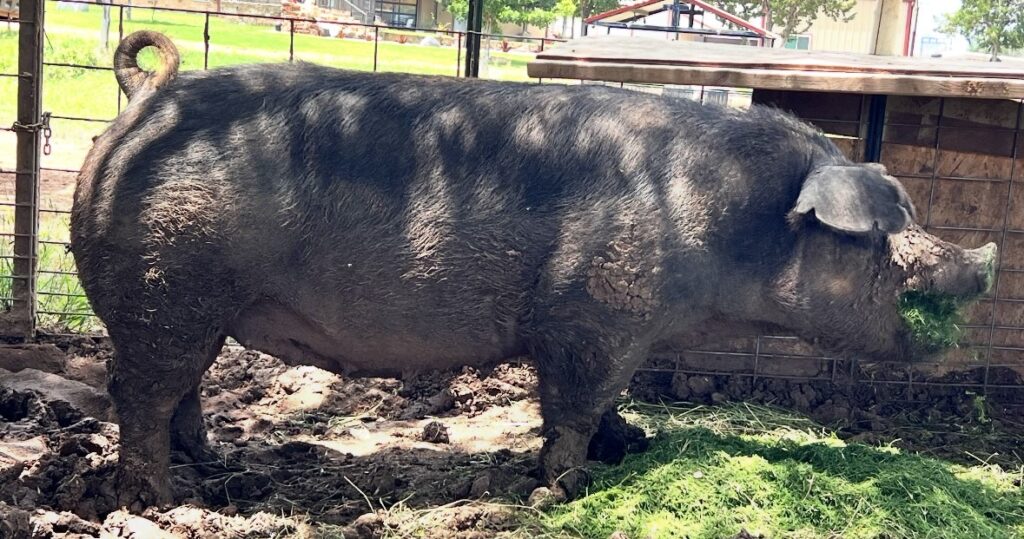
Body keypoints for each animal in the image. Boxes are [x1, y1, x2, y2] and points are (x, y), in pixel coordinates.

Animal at [71, 30, 997, 511]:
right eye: (888, 240)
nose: (987, 261)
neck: (726, 228)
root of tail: (146, 101)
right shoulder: (593, 314)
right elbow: (576, 402)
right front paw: (570, 485)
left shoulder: (620, 327)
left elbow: (610, 398)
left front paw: (634, 446)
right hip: (169, 285)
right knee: (139, 391)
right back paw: (155, 500)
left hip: (187, 299)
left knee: (182, 388)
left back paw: (208, 462)